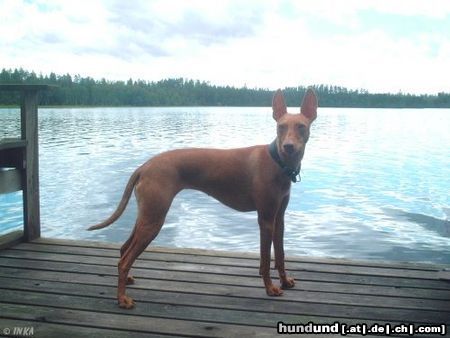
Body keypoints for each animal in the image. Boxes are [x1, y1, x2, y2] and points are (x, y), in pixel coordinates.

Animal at [89, 88, 318, 308]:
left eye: (301, 127)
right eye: (280, 127)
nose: (288, 146)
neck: (278, 162)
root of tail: (144, 166)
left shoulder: (279, 219)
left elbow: (280, 255)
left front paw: (285, 281)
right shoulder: (265, 219)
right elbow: (265, 260)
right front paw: (270, 288)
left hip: (147, 215)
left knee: (123, 249)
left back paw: (127, 282)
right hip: (154, 219)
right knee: (124, 261)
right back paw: (122, 299)